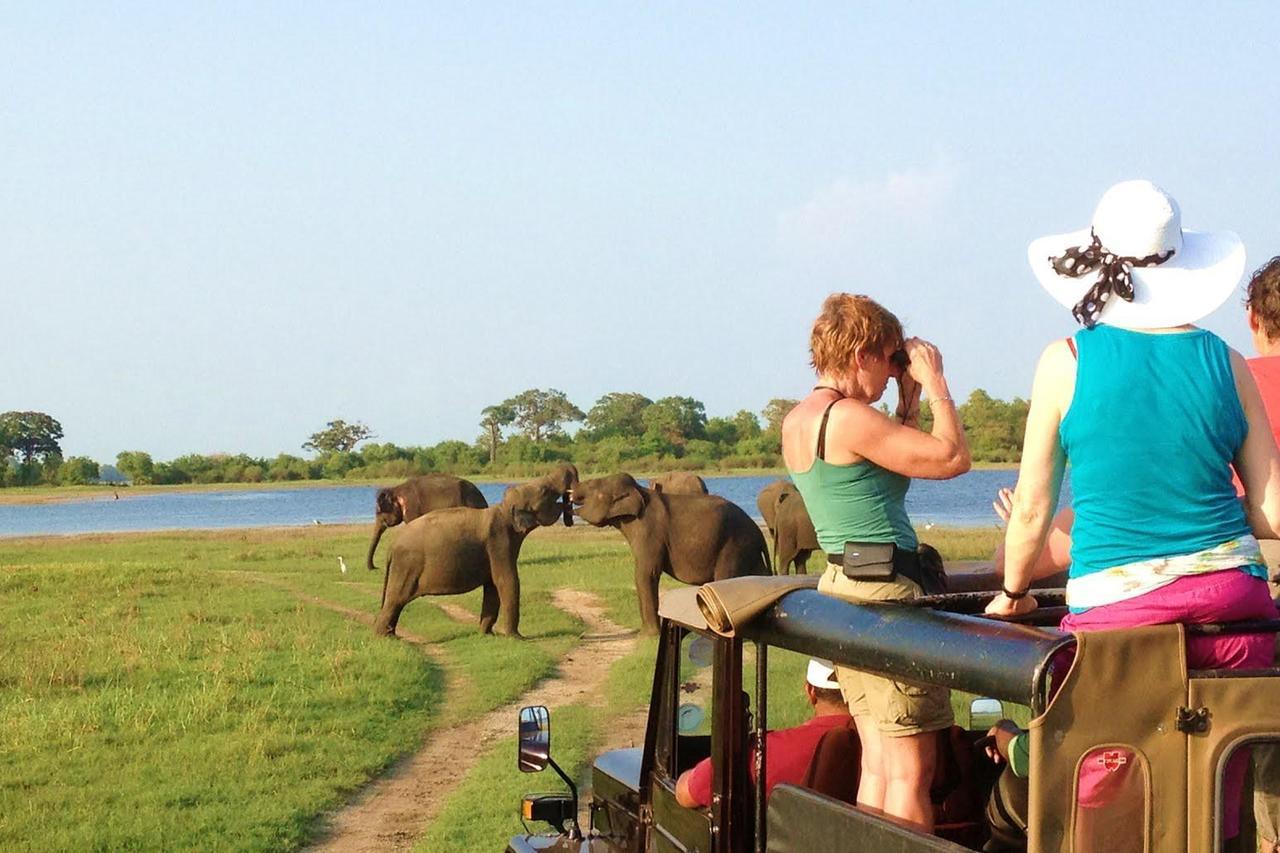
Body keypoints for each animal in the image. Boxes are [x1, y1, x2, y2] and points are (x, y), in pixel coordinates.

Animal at [368, 466, 573, 637]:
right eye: (546, 491)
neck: (503, 509)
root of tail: (392, 547)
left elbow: (492, 587)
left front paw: (486, 634)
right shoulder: (499, 543)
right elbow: (507, 581)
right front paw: (516, 638)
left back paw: (389, 634)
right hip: (406, 566)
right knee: (396, 600)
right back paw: (385, 637)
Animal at [573, 471, 768, 630]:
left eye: (591, 484)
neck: (640, 491)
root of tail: (759, 533)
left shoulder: (649, 531)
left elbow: (646, 573)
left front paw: (650, 636)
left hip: (734, 545)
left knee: (725, 577)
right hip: (748, 550)